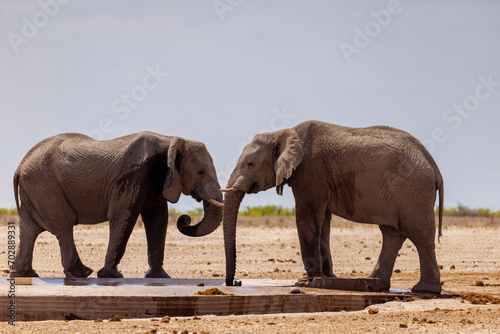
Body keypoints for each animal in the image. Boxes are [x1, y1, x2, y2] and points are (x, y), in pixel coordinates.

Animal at [12, 132, 224, 278]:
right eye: (201, 172)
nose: (184, 219)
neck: (170, 139)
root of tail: (20, 165)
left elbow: (158, 219)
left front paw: (160, 277)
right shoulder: (134, 176)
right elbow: (124, 217)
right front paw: (111, 276)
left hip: (36, 188)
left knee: (30, 228)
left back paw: (26, 274)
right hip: (45, 186)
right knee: (64, 225)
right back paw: (82, 273)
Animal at [221, 119, 444, 292]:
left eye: (250, 164)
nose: (235, 283)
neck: (283, 133)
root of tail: (434, 166)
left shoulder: (310, 170)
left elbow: (307, 217)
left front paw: (308, 281)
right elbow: (323, 223)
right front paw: (327, 279)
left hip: (413, 190)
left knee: (420, 235)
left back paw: (423, 290)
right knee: (392, 234)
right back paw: (376, 283)